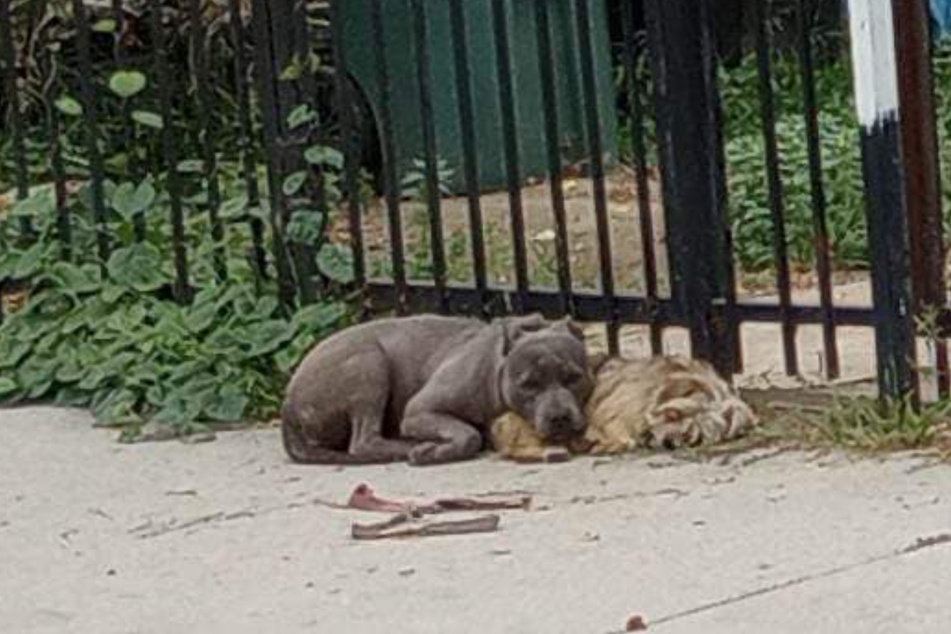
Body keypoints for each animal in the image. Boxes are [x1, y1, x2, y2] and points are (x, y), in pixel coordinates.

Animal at [282, 312, 592, 464]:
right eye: (528, 385)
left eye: (573, 378)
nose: (559, 417)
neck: (495, 368)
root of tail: (288, 405)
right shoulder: (419, 410)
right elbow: (468, 435)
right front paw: (437, 452)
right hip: (368, 364)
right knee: (363, 441)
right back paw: (411, 447)